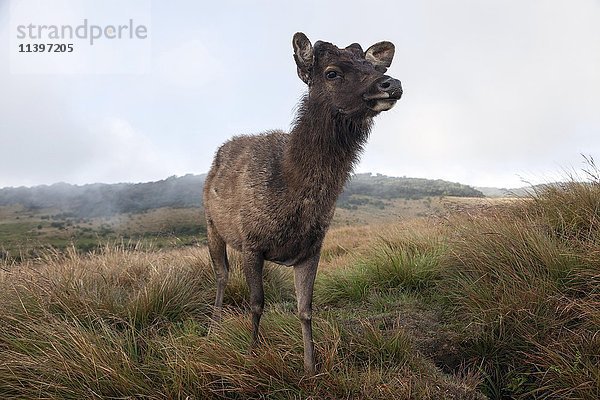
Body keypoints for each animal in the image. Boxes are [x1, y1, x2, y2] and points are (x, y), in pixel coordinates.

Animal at [203, 31, 404, 376]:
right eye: (332, 73)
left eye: (372, 65)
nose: (391, 83)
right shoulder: (252, 242)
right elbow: (256, 304)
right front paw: (251, 355)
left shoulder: (312, 249)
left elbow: (306, 308)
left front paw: (311, 367)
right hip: (211, 225)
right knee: (221, 275)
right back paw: (213, 328)